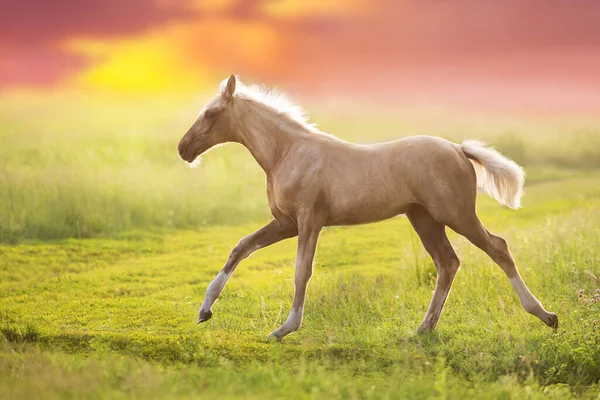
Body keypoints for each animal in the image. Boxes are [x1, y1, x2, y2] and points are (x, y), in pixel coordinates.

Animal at [177, 75, 556, 340]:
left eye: (211, 113)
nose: (183, 149)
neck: (288, 152)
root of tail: (458, 149)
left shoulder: (309, 220)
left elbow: (301, 270)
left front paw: (285, 328)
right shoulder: (285, 223)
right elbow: (240, 248)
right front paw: (204, 311)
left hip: (457, 214)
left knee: (498, 248)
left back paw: (545, 316)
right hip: (424, 219)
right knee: (448, 262)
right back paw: (424, 328)